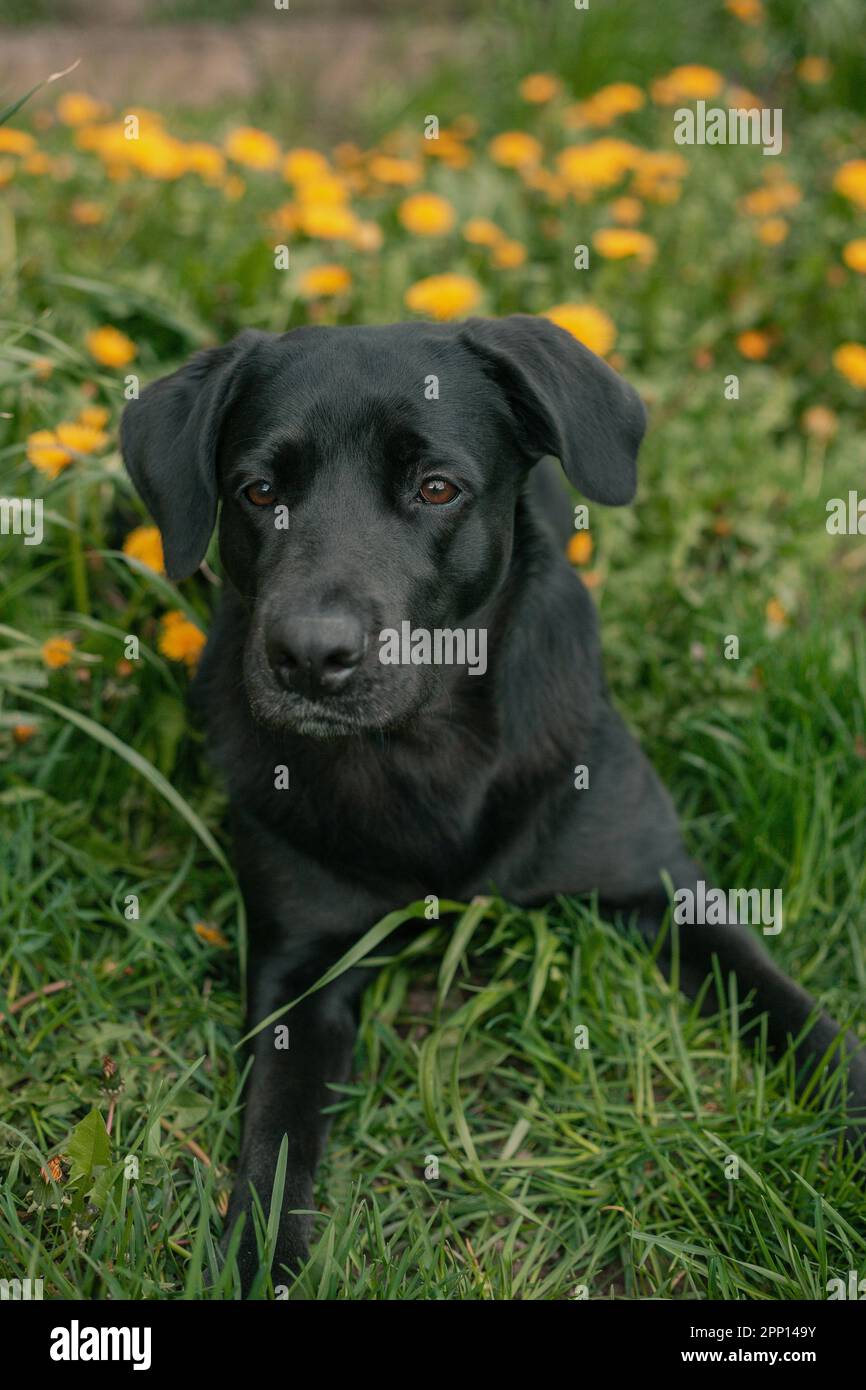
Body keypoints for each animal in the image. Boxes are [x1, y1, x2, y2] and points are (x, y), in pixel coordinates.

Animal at [122, 315, 866, 1289]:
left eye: (437, 488)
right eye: (258, 491)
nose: (309, 656)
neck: (424, 751)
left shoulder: (667, 889)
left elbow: (798, 1017)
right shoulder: (299, 965)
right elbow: (274, 1140)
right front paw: (251, 1260)